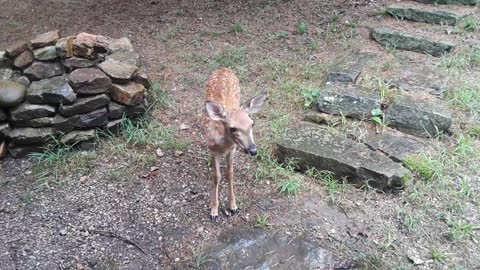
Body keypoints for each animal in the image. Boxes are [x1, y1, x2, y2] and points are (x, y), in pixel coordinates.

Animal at [203, 67, 268, 221]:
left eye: (252, 124)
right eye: (233, 128)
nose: (253, 150)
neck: (223, 145)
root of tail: (223, 68)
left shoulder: (232, 149)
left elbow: (230, 173)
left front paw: (233, 206)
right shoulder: (212, 150)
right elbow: (216, 177)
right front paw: (214, 210)